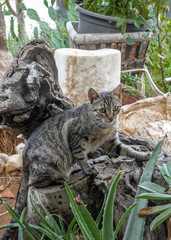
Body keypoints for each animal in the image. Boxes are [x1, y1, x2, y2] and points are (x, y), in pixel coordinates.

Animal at [2, 83, 150, 239]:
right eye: (102, 110)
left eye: (115, 109)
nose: (110, 118)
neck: (103, 128)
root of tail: (24, 157)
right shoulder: (76, 140)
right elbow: (82, 158)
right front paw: (88, 169)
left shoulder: (111, 142)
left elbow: (126, 150)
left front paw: (142, 153)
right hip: (52, 163)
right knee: (34, 182)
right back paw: (61, 178)